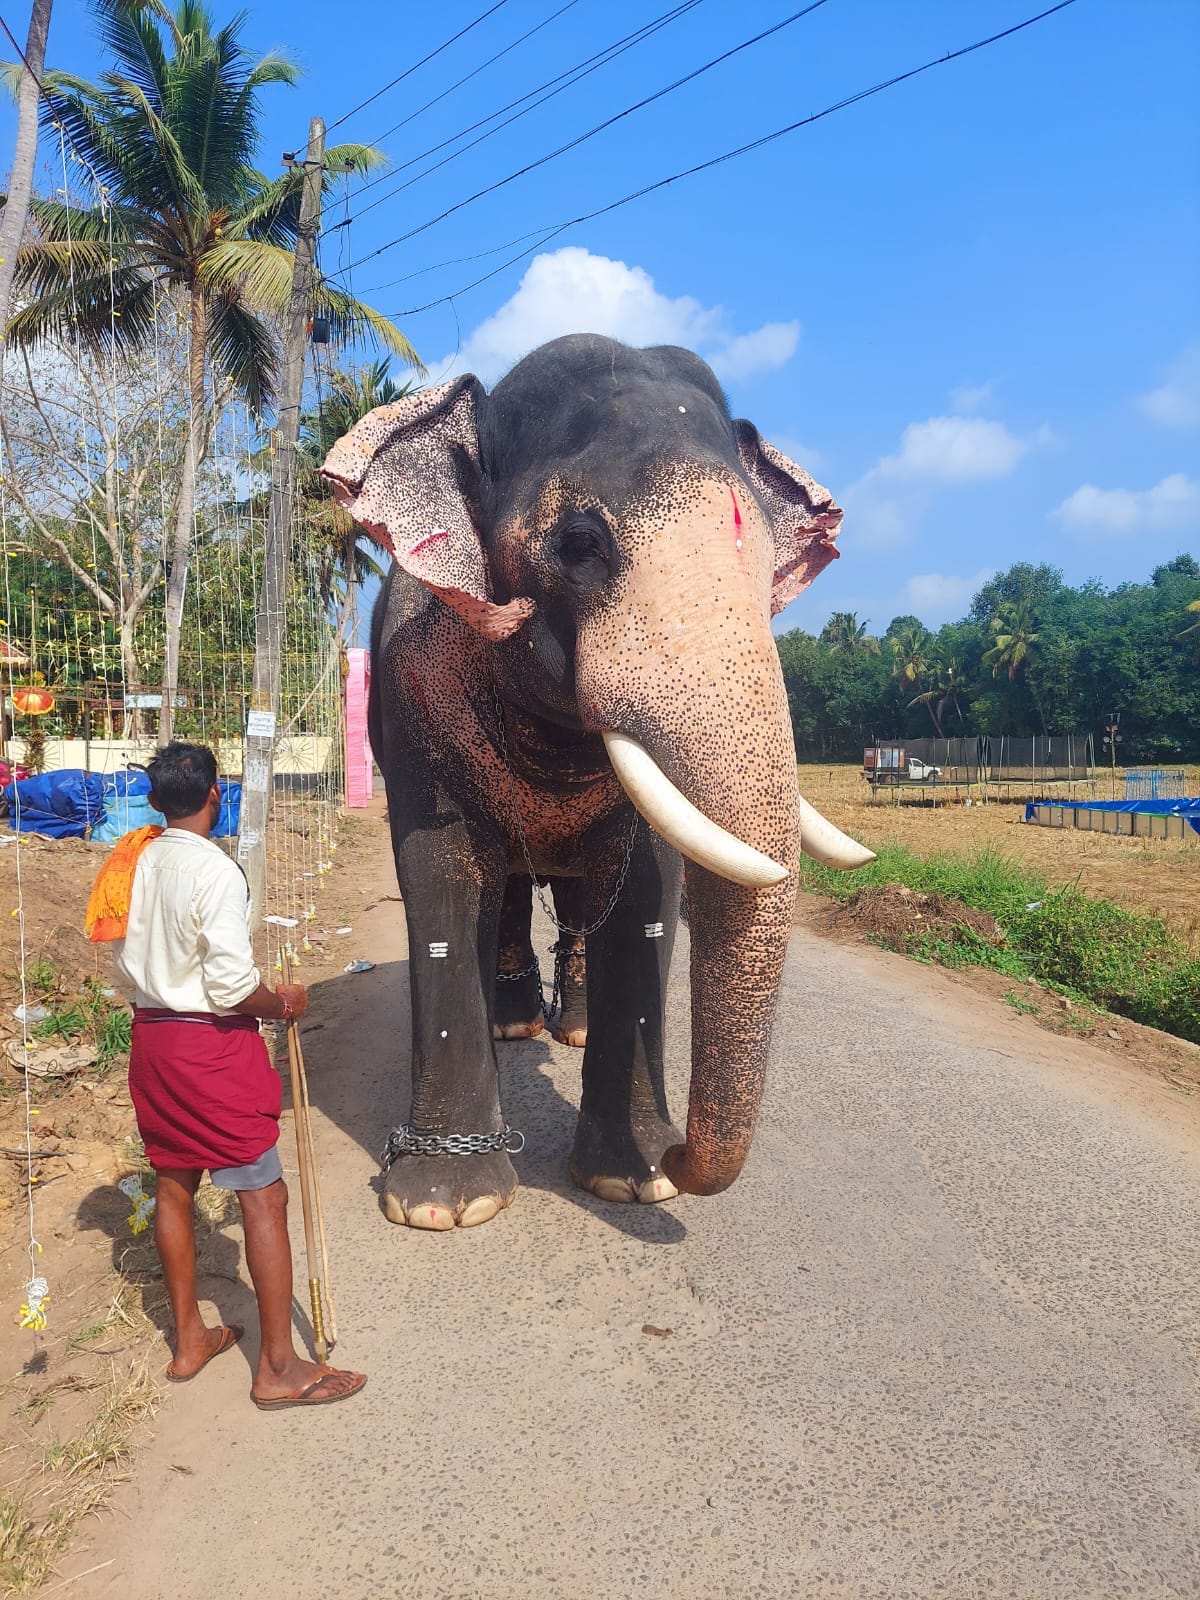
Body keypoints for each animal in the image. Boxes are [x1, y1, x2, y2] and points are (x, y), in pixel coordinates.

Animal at [324, 331, 876, 1228]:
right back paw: (514, 1028)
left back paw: (568, 1030)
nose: (684, 1152)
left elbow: (650, 883)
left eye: (768, 565)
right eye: (580, 544)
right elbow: (442, 872)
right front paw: (446, 1206)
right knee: (508, 889)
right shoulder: (415, 691)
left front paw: (635, 1178)